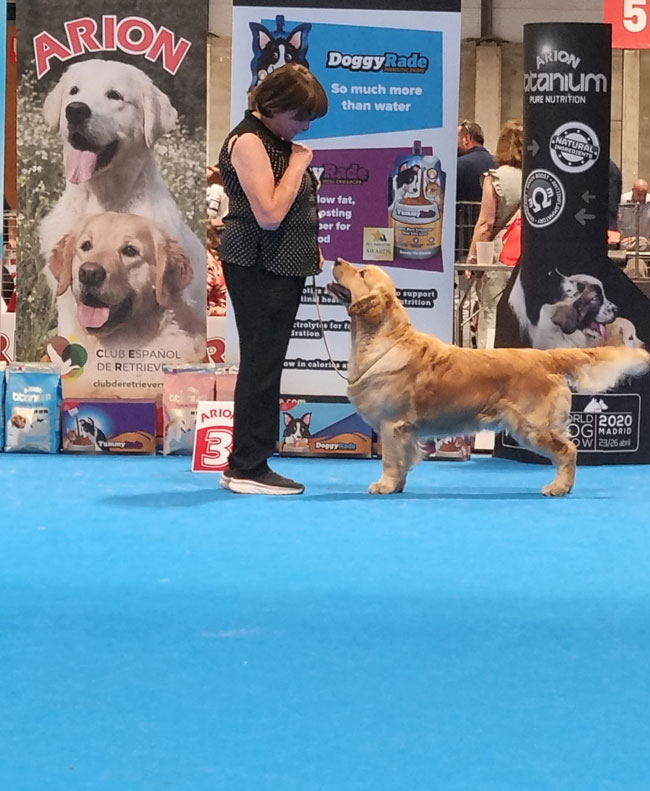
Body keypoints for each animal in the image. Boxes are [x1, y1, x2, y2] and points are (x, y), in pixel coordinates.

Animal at [330, 260, 648, 496]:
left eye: (361, 273)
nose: (336, 260)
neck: (385, 338)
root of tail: (546, 357)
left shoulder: (392, 424)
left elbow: (391, 459)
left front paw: (384, 485)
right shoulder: (405, 431)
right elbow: (404, 459)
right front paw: (397, 486)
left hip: (533, 425)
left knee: (568, 450)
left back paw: (558, 487)